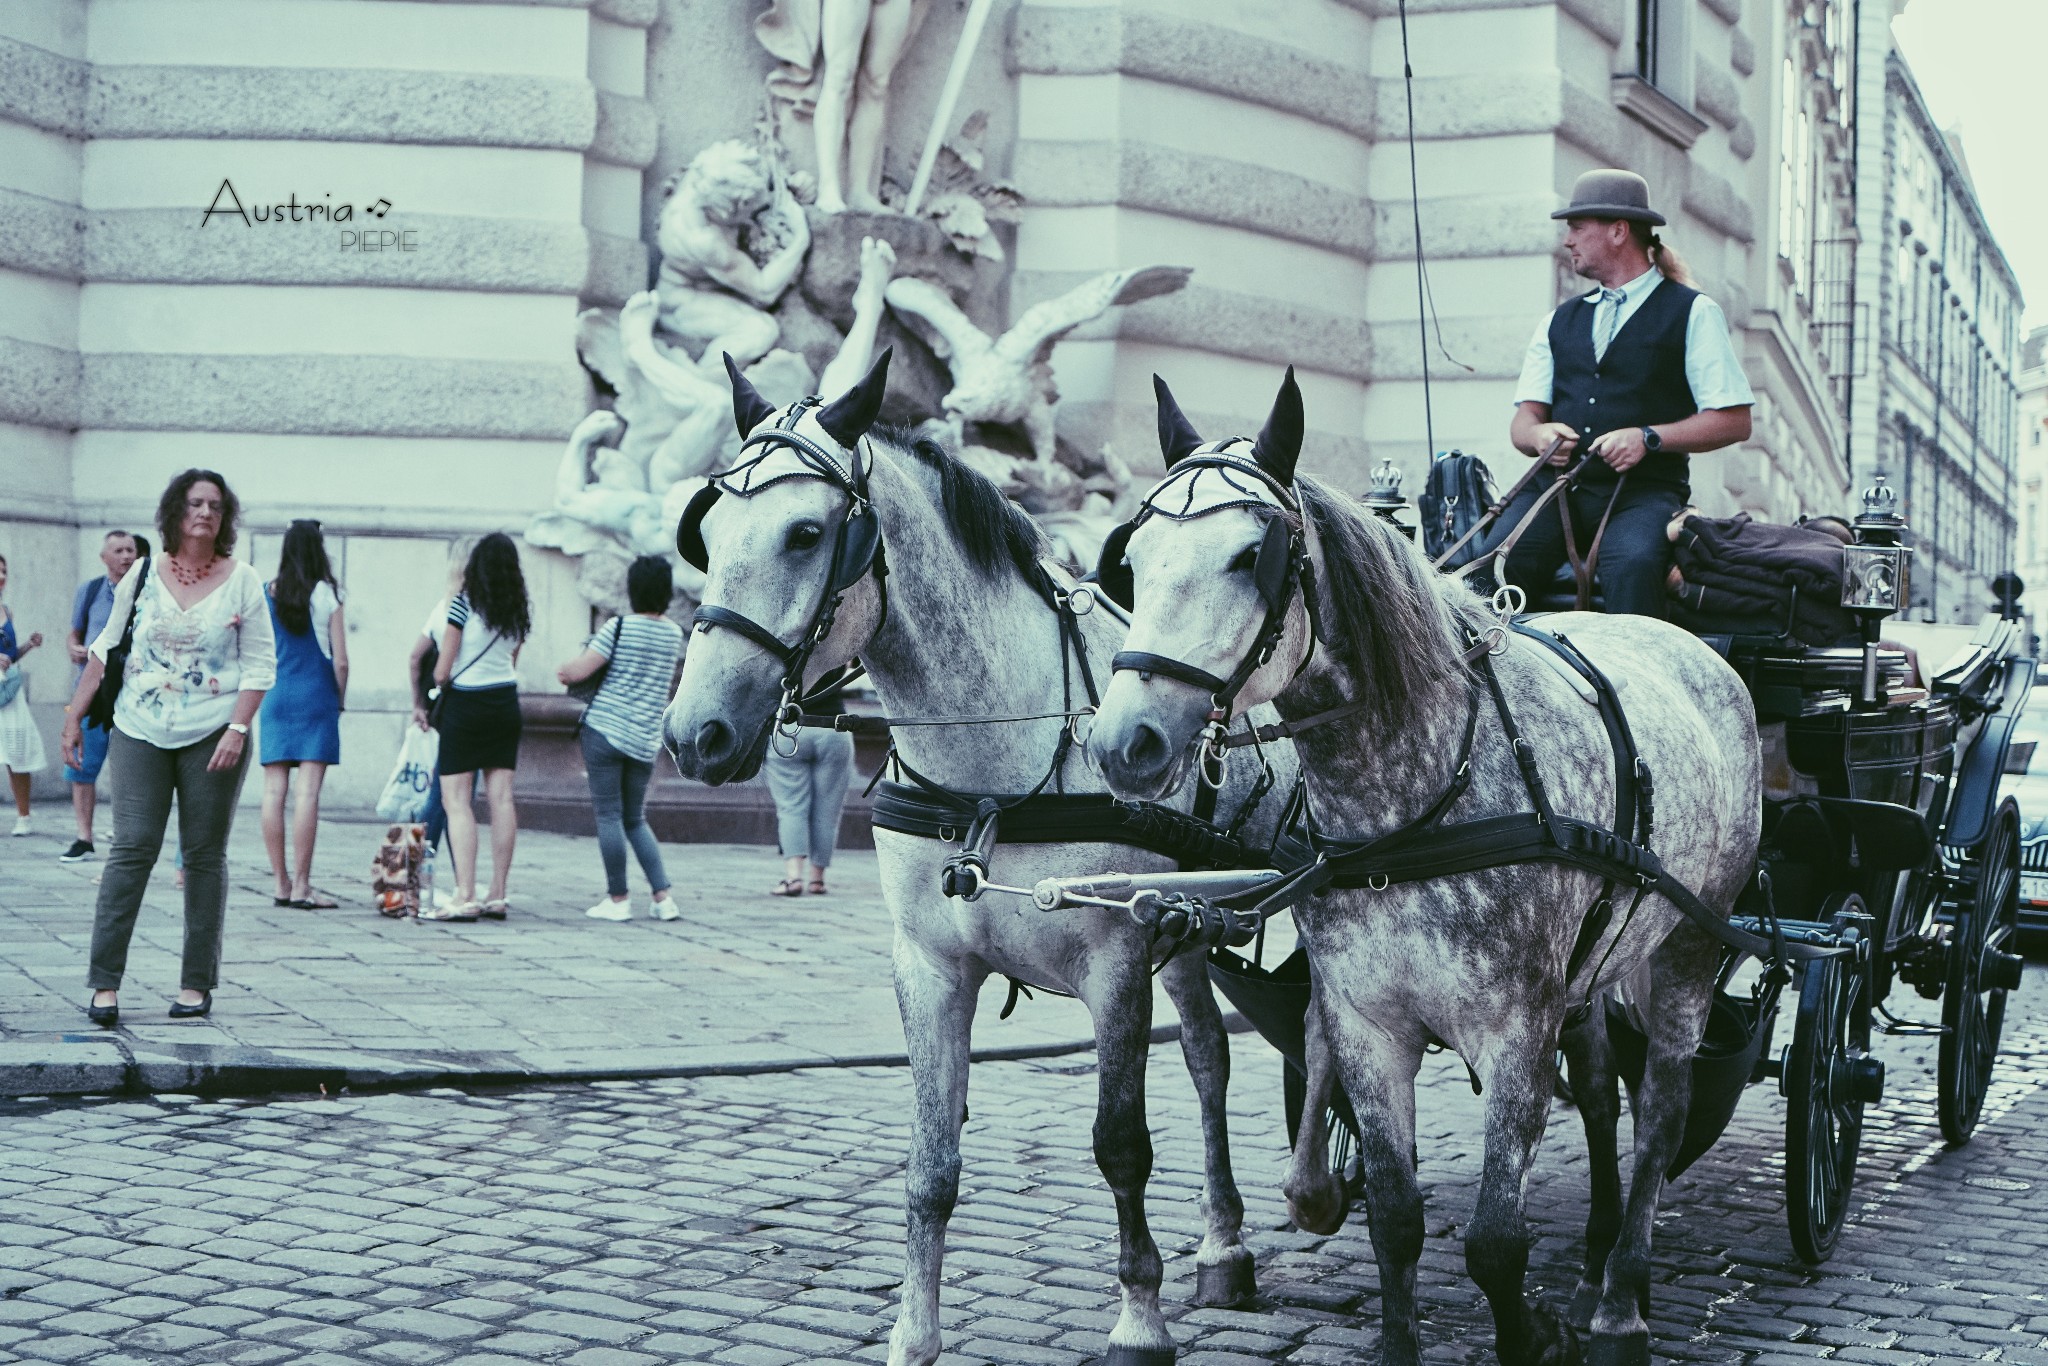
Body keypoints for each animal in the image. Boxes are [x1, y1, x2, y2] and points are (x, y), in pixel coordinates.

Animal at [655, 358, 1294, 1366]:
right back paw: (1223, 1242)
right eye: (707, 531)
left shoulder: (1117, 963)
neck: (991, 767)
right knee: (1205, 1055)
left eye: (807, 534)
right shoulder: (929, 966)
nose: (694, 733)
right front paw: (914, 1333)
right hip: (1187, 929)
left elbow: (1121, 1145)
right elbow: (931, 1162)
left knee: (1227, 1060)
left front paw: (1138, 1318)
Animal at [1089, 368, 1761, 1359]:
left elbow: (1495, 1243)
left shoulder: (1517, 1029)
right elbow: (1396, 1218)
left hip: (1686, 949)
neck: (1412, 806)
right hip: (1598, 962)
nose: (1121, 743)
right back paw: (1595, 1261)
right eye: (1130, 564)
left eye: (1251, 557)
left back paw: (1619, 1299)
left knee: (1662, 1113)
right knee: (1606, 1093)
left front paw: (1530, 1330)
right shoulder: (1370, 1024)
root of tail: (1686, 644)